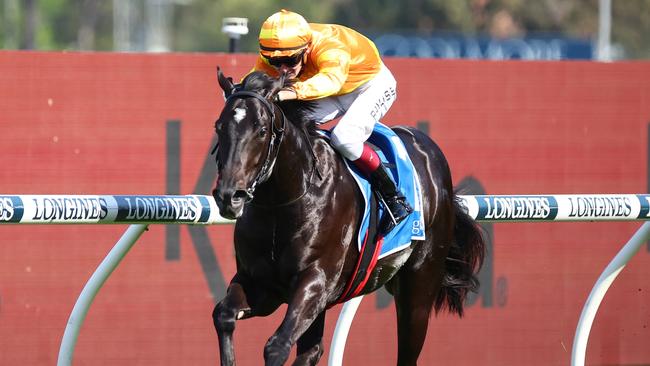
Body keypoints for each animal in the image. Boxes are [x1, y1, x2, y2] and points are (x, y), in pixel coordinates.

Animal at [210, 69, 484, 366]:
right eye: (219, 127)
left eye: (261, 131)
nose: (229, 196)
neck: (282, 204)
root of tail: (430, 150)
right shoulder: (261, 285)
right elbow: (223, 315)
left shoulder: (316, 282)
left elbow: (277, 345)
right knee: (311, 350)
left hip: (419, 289)